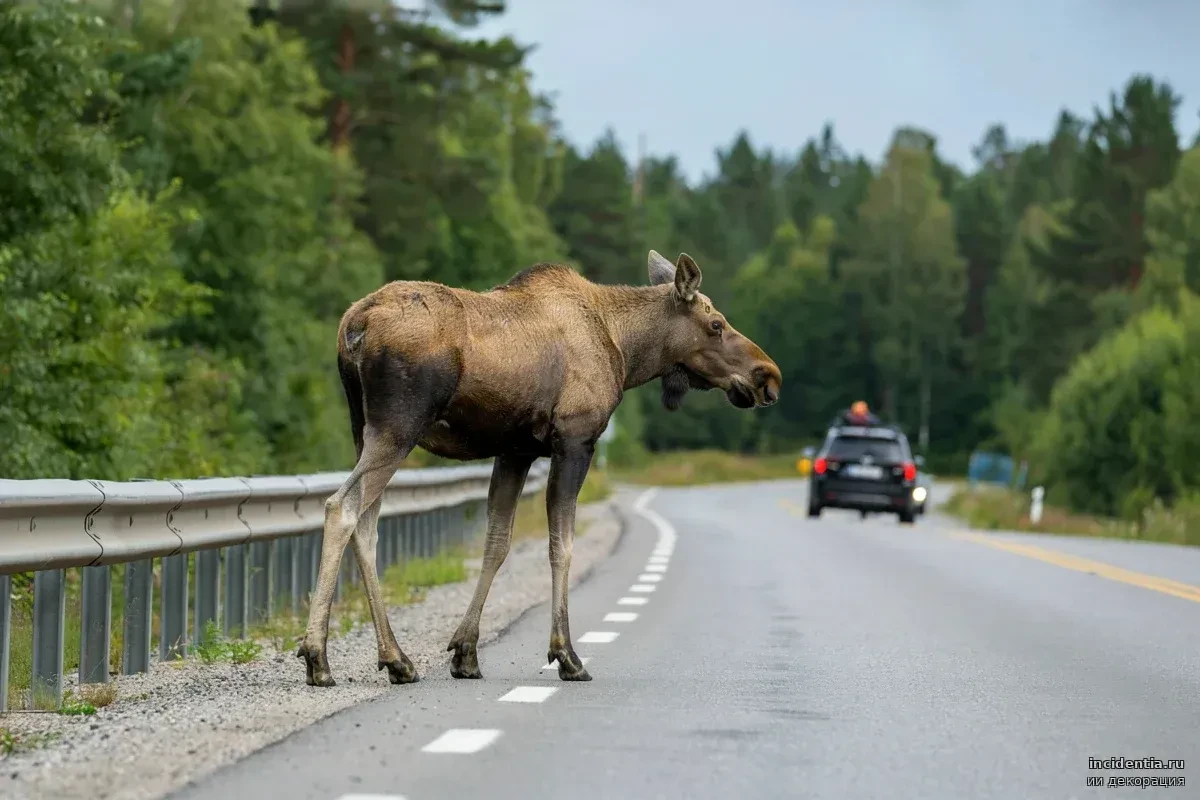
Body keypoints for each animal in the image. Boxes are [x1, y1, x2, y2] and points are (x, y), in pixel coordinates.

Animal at [295, 250, 782, 687]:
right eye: (716, 324)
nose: (767, 375)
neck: (627, 353)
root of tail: (352, 327)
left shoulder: (515, 451)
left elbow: (496, 542)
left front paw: (466, 653)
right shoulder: (574, 440)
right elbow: (562, 544)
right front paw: (566, 655)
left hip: (363, 428)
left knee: (367, 521)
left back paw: (395, 658)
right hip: (399, 426)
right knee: (342, 507)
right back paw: (319, 657)